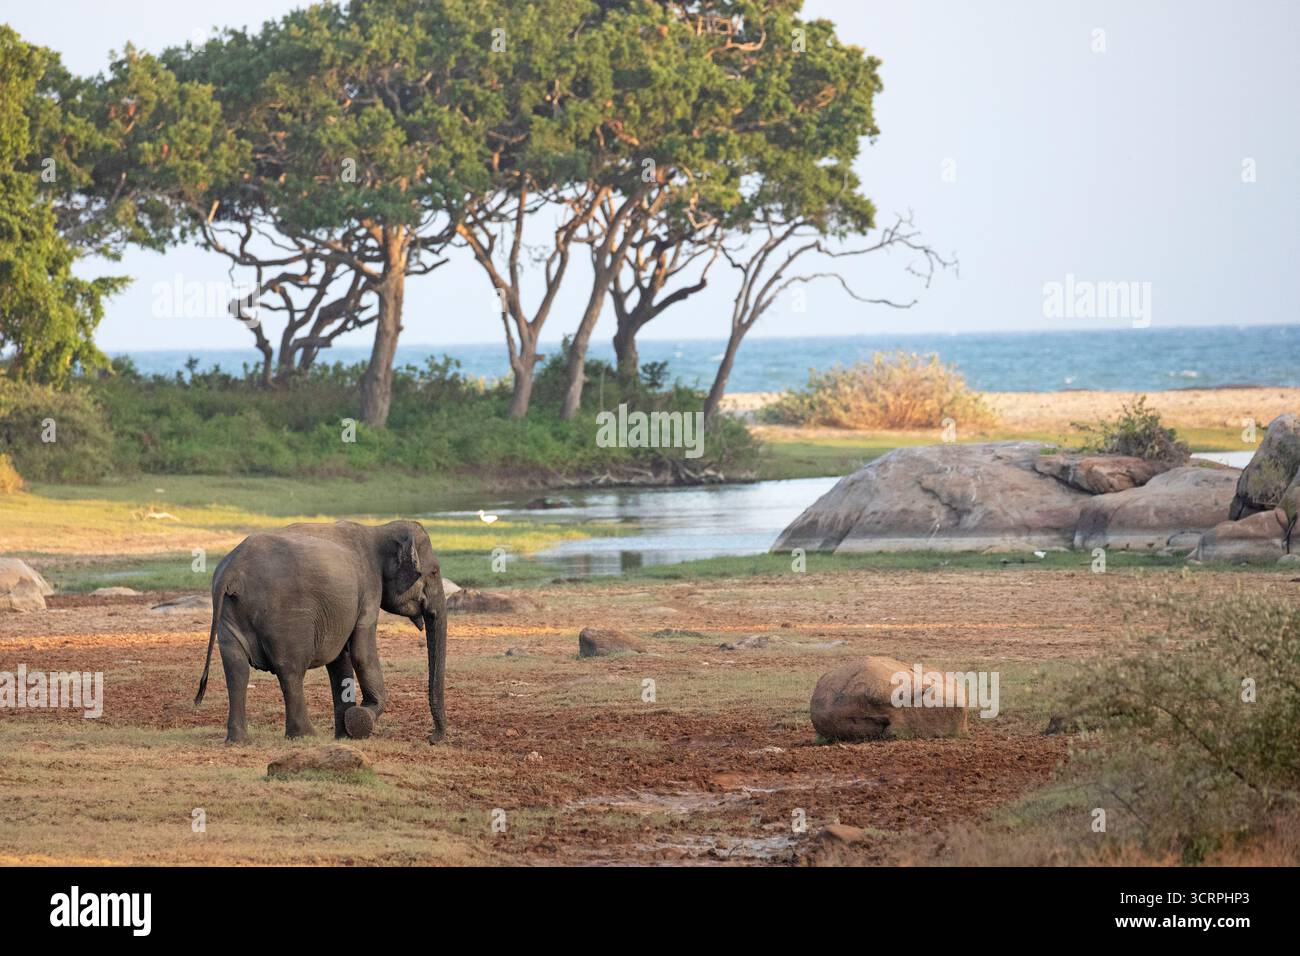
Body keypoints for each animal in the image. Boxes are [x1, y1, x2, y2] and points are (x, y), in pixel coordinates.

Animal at [193, 519, 447, 745]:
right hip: (286, 616)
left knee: (236, 669)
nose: (432, 739)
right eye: (434, 572)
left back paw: (238, 741)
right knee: (290, 670)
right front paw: (361, 720)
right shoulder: (369, 589)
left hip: (228, 613)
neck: (379, 529)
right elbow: (361, 652)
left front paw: (345, 735)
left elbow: (341, 659)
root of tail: (232, 570)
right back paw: (306, 736)